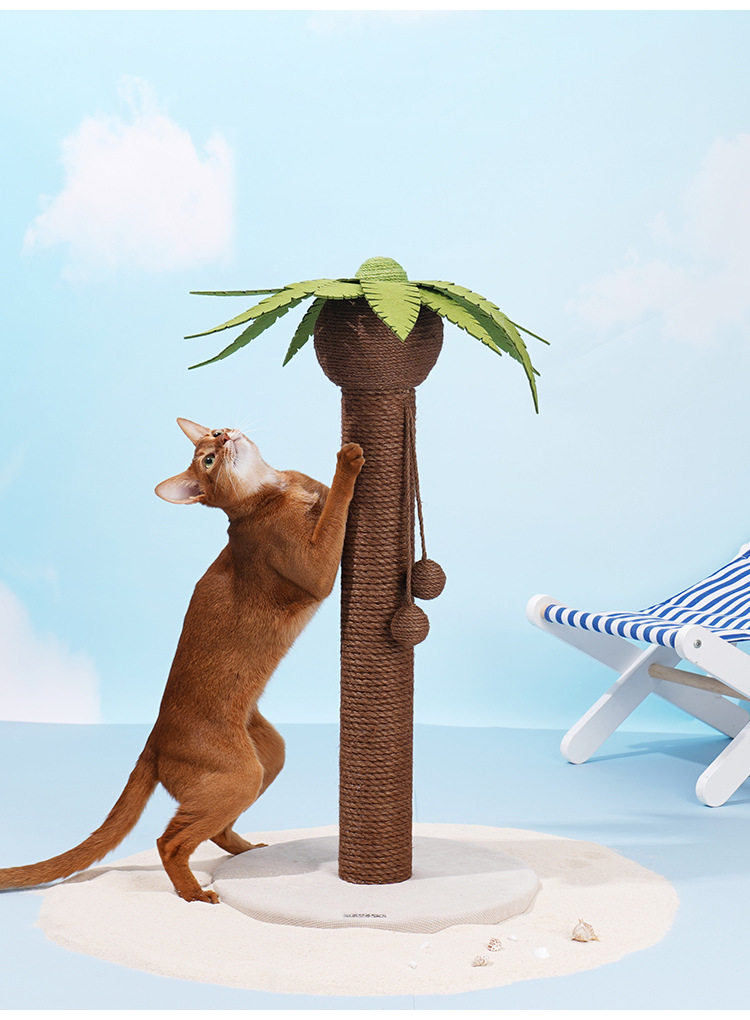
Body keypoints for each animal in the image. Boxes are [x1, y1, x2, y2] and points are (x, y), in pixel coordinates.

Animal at [0, 418, 364, 903]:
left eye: (214, 433)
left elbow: (321, 494)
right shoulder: (316, 568)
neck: (271, 489)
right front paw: (349, 459)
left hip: (268, 754)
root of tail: (154, 740)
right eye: (207, 459)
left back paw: (248, 853)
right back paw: (196, 895)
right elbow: (335, 510)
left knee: (214, 830)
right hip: (239, 774)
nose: (225, 435)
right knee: (169, 840)